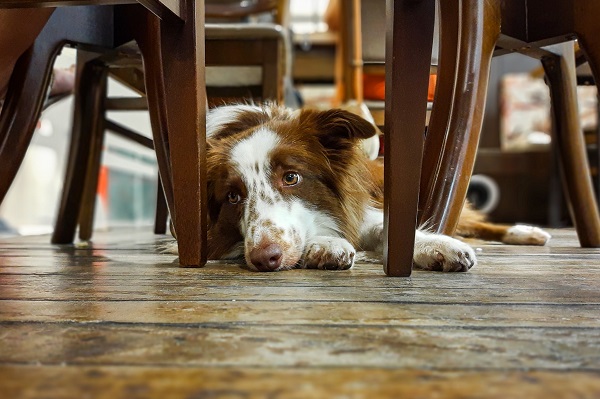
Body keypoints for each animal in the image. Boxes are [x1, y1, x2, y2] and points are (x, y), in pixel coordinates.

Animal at [169, 103, 552, 274]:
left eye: (291, 177)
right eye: (233, 196)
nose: (265, 258)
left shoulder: (361, 206)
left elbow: (386, 227)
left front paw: (435, 245)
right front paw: (327, 244)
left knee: (477, 223)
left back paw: (527, 232)